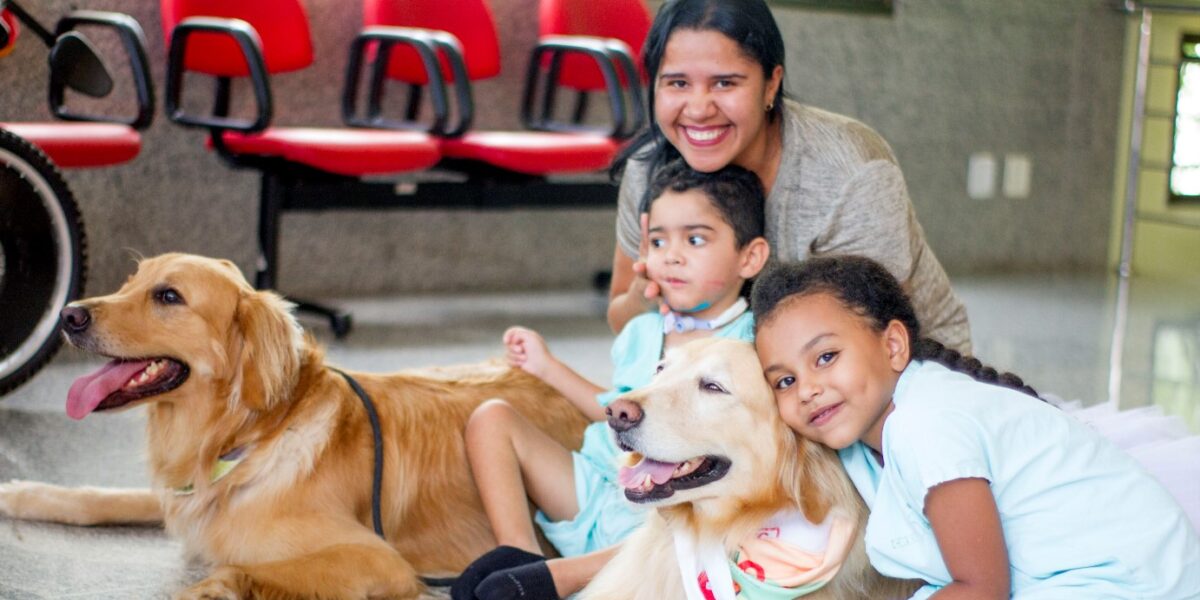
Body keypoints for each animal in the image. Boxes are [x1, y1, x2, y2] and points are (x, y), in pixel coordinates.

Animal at [0, 253, 585, 600]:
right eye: (130, 282)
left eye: (168, 296)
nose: (68, 315)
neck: (247, 438)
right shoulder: (191, 493)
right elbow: (99, 497)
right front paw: (21, 492)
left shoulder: (382, 561)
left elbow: (236, 570)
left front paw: (208, 590)